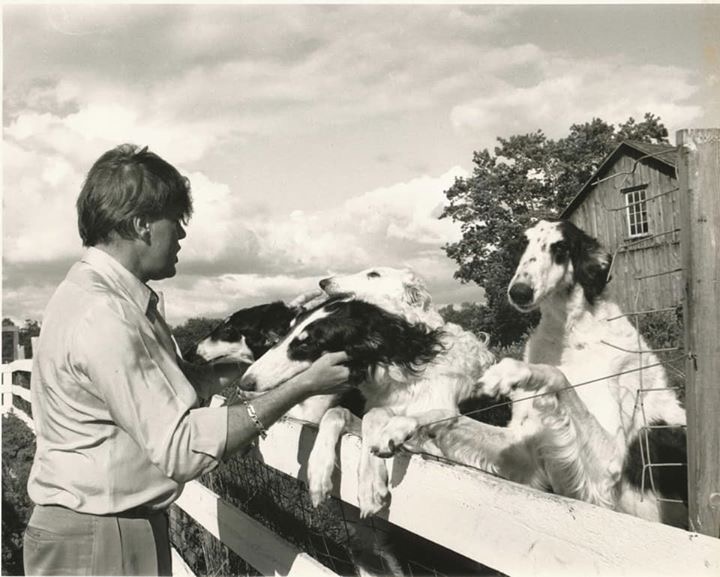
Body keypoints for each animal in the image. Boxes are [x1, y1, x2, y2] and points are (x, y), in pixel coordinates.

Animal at [424, 219, 688, 528]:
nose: (519, 292)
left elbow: (556, 376)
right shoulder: (524, 452)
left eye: (560, 248)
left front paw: (512, 371)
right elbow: (447, 419)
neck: (568, 333)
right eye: (522, 244)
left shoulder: (608, 462)